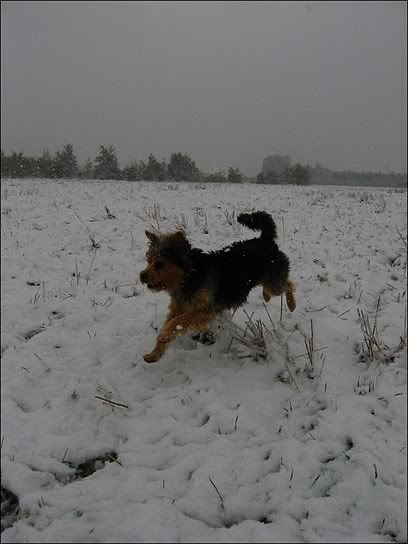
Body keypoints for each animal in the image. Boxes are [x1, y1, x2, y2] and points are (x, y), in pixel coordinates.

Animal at [140, 211, 296, 362]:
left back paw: (291, 304)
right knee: (272, 287)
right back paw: (266, 296)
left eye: (160, 264)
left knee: (288, 284)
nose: (141, 276)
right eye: (149, 261)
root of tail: (265, 239)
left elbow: (175, 323)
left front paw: (163, 336)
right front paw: (154, 354)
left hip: (275, 282)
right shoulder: (179, 308)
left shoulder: (206, 310)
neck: (189, 277)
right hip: (269, 281)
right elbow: (171, 323)